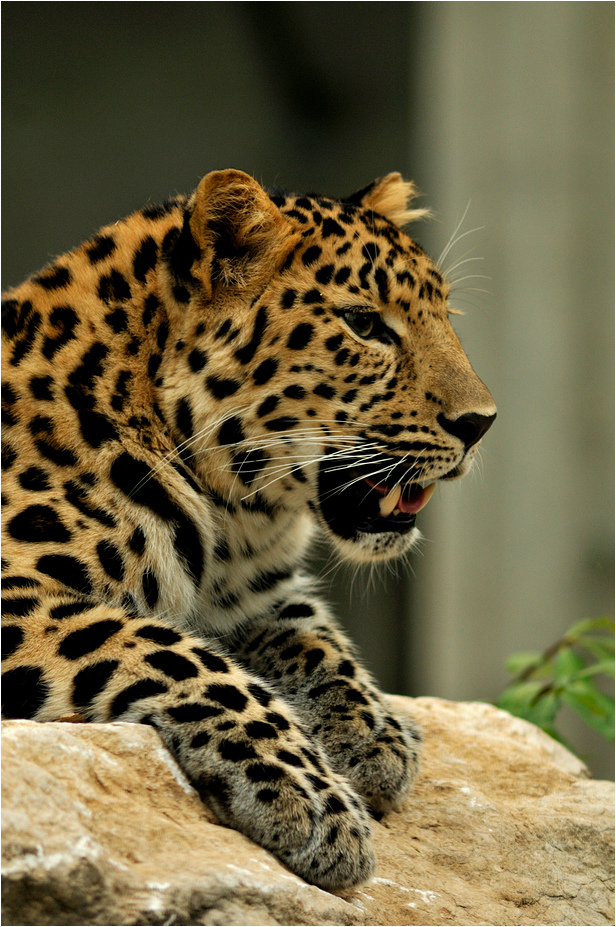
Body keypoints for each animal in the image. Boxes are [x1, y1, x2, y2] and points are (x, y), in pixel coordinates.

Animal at [1, 169, 496, 891]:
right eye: (364, 324)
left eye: (446, 318)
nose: (481, 423)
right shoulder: (17, 590)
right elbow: (175, 650)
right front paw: (314, 800)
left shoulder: (255, 592)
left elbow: (318, 636)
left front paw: (376, 733)